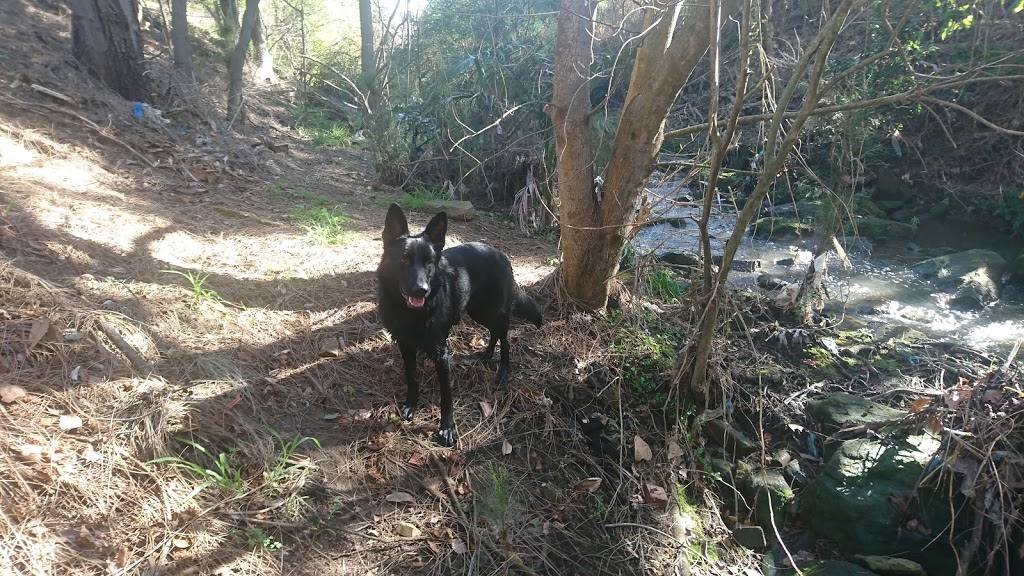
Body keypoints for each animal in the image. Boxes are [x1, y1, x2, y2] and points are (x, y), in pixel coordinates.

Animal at [376, 203, 544, 446]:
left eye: (429, 263)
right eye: (404, 260)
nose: (421, 290)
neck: (412, 313)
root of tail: (501, 254)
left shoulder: (442, 355)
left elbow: (446, 396)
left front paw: (447, 429)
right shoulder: (405, 346)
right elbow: (412, 379)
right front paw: (410, 405)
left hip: (495, 312)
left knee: (505, 338)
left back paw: (503, 370)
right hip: (478, 312)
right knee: (494, 332)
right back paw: (486, 354)